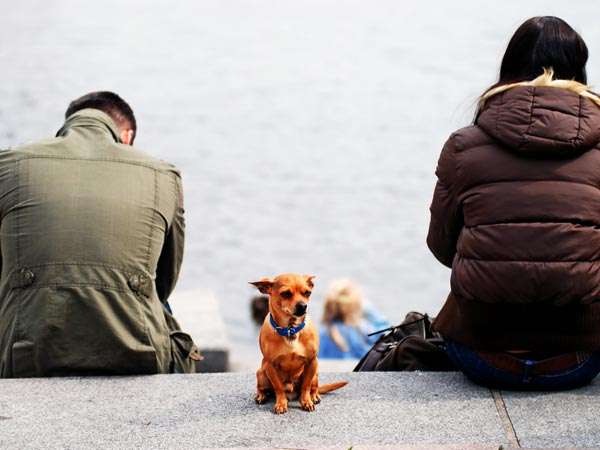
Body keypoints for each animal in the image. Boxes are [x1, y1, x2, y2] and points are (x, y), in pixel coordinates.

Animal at [248, 272, 346, 414]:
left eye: (307, 293)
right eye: (286, 293)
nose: (303, 306)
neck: (290, 329)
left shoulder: (312, 362)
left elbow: (306, 386)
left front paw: (306, 401)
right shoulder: (270, 365)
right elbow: (278, 388)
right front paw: (281, 403)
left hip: (315, 374)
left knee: (314, 387)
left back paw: (314, 396)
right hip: (261, 373)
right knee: (263, 388)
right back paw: (261, 396)